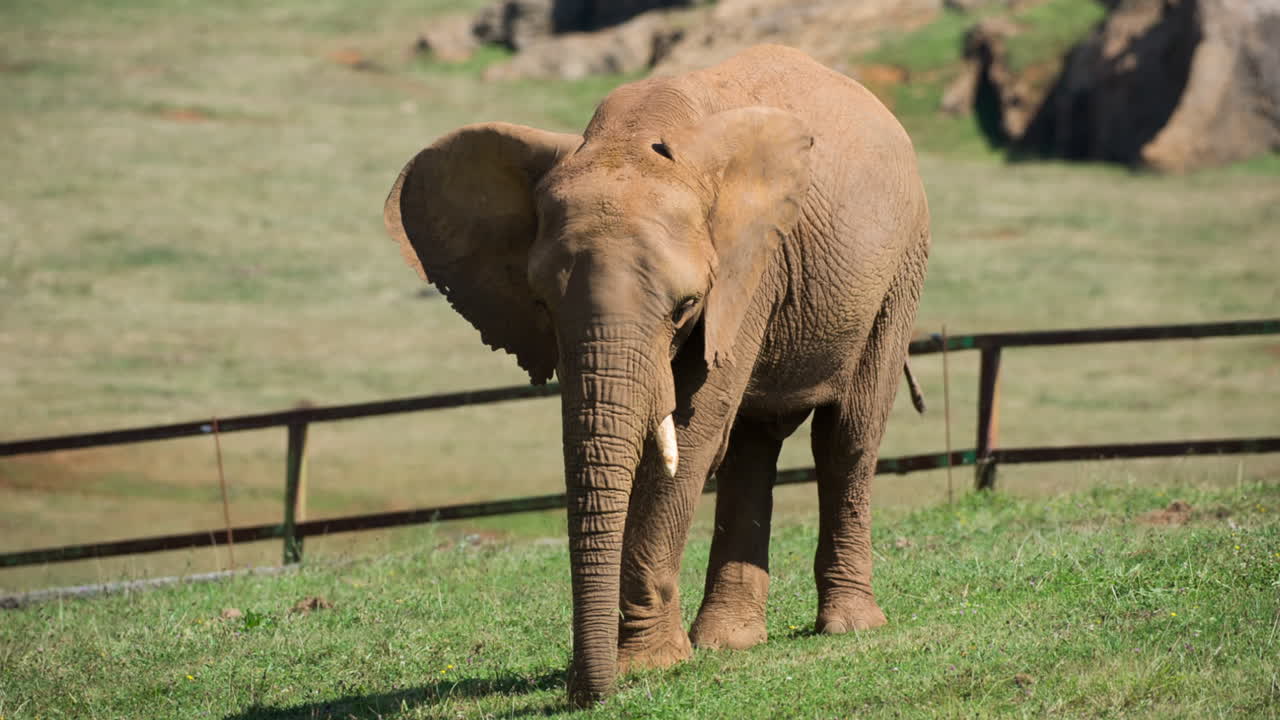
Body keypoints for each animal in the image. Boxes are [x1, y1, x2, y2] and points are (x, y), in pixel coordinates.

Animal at [383, 44, 931, 706]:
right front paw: (649, 663)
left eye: (685, 305)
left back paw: (848, 628)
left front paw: (647, 667)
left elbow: (691, 435)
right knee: (753, 446)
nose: (582, 691)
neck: (633, 133)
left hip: (899, 269)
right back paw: (728, 642)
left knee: (847, 434)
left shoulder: (750, 266)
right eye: (540, 303)